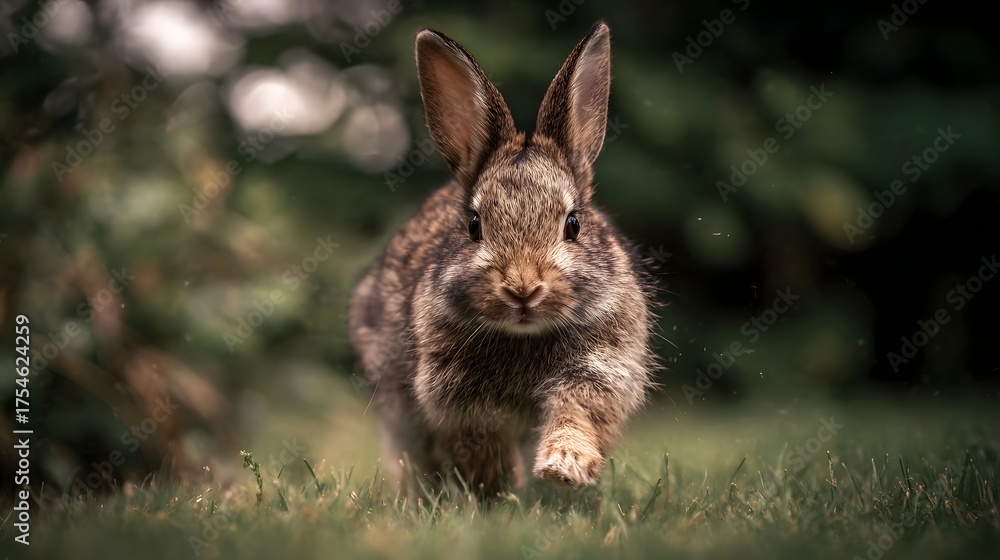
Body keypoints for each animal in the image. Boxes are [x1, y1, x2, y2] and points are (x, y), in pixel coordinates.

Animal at [348, 20, 656, 496]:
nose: (523, 289)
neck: (525, 335)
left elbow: (577, 414)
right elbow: (484, 444)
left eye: (573, 223)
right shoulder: (458, 400)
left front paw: (562, 468)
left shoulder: (602, 369)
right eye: (474, 225)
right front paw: (501, 490)